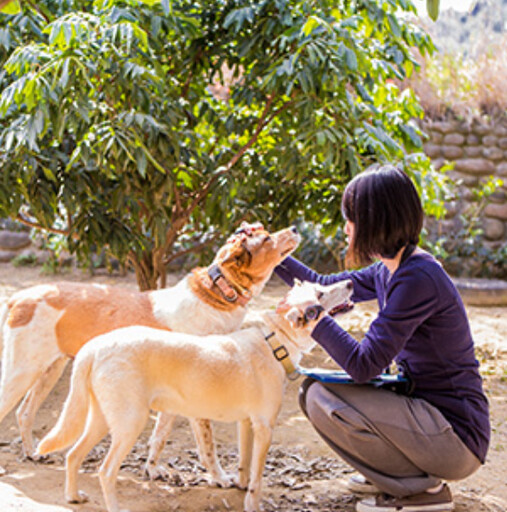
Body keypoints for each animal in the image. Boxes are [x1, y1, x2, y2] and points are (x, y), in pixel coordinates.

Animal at [0, 221, 300, 484]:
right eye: (266, 238)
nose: (296, 228)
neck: (216, 294)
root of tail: (18, 297)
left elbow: (160, 436)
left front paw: (152, 470)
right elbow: (207, 444)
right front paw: (220, 478)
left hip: (49, 370)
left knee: (24, 413)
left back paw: (32, 453)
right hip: (21, 372)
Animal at [36, 280, 354, 512]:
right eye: (320, 294)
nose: (351, 282)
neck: (275, 341)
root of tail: (95, 346)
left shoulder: (248, 424)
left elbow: (245, 465)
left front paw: (238, 486)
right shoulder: (265, 427)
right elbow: (258, 478)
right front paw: (252, 504)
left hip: (103, 421)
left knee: (73, 455)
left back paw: (73, 497)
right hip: (130, 424)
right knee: (105, 471)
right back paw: (114, 507)